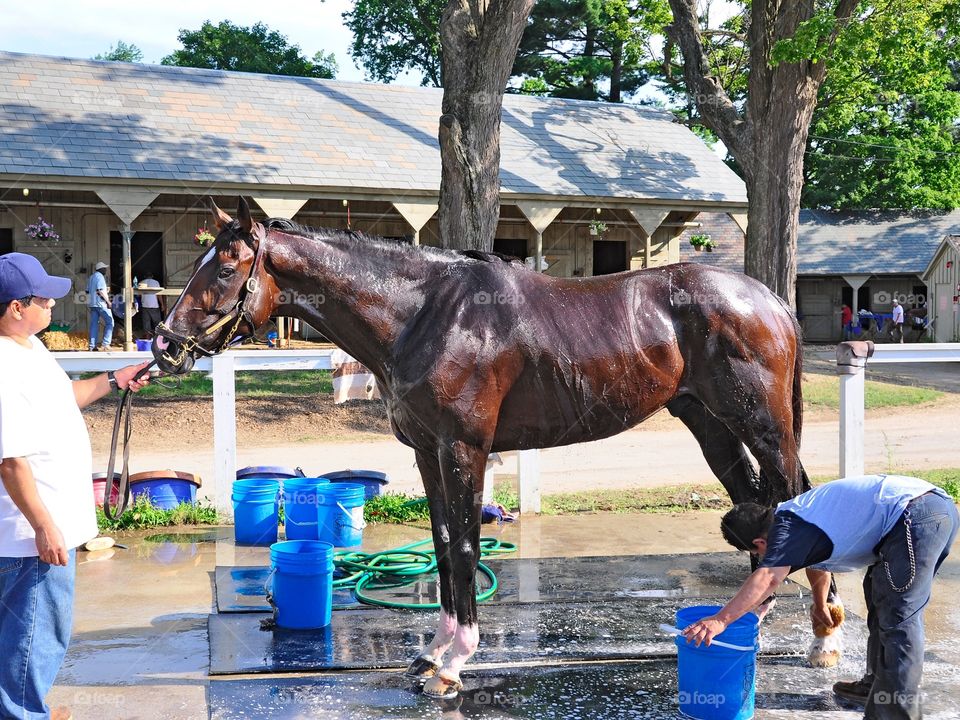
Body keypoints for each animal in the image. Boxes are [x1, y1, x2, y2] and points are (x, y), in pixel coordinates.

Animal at [153, 198, 843, 697]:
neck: (423, 312)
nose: (165, 344)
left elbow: (463, 546)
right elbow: (439, 545)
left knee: (795, 498)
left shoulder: (463, 449)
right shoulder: (427, 452)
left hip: (763, 426)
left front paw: (454, 664)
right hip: (711, 425)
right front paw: (433, 651)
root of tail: (768, 299)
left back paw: (823, 637)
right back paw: (755, 619)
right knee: (760, 500)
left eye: (223, 266)